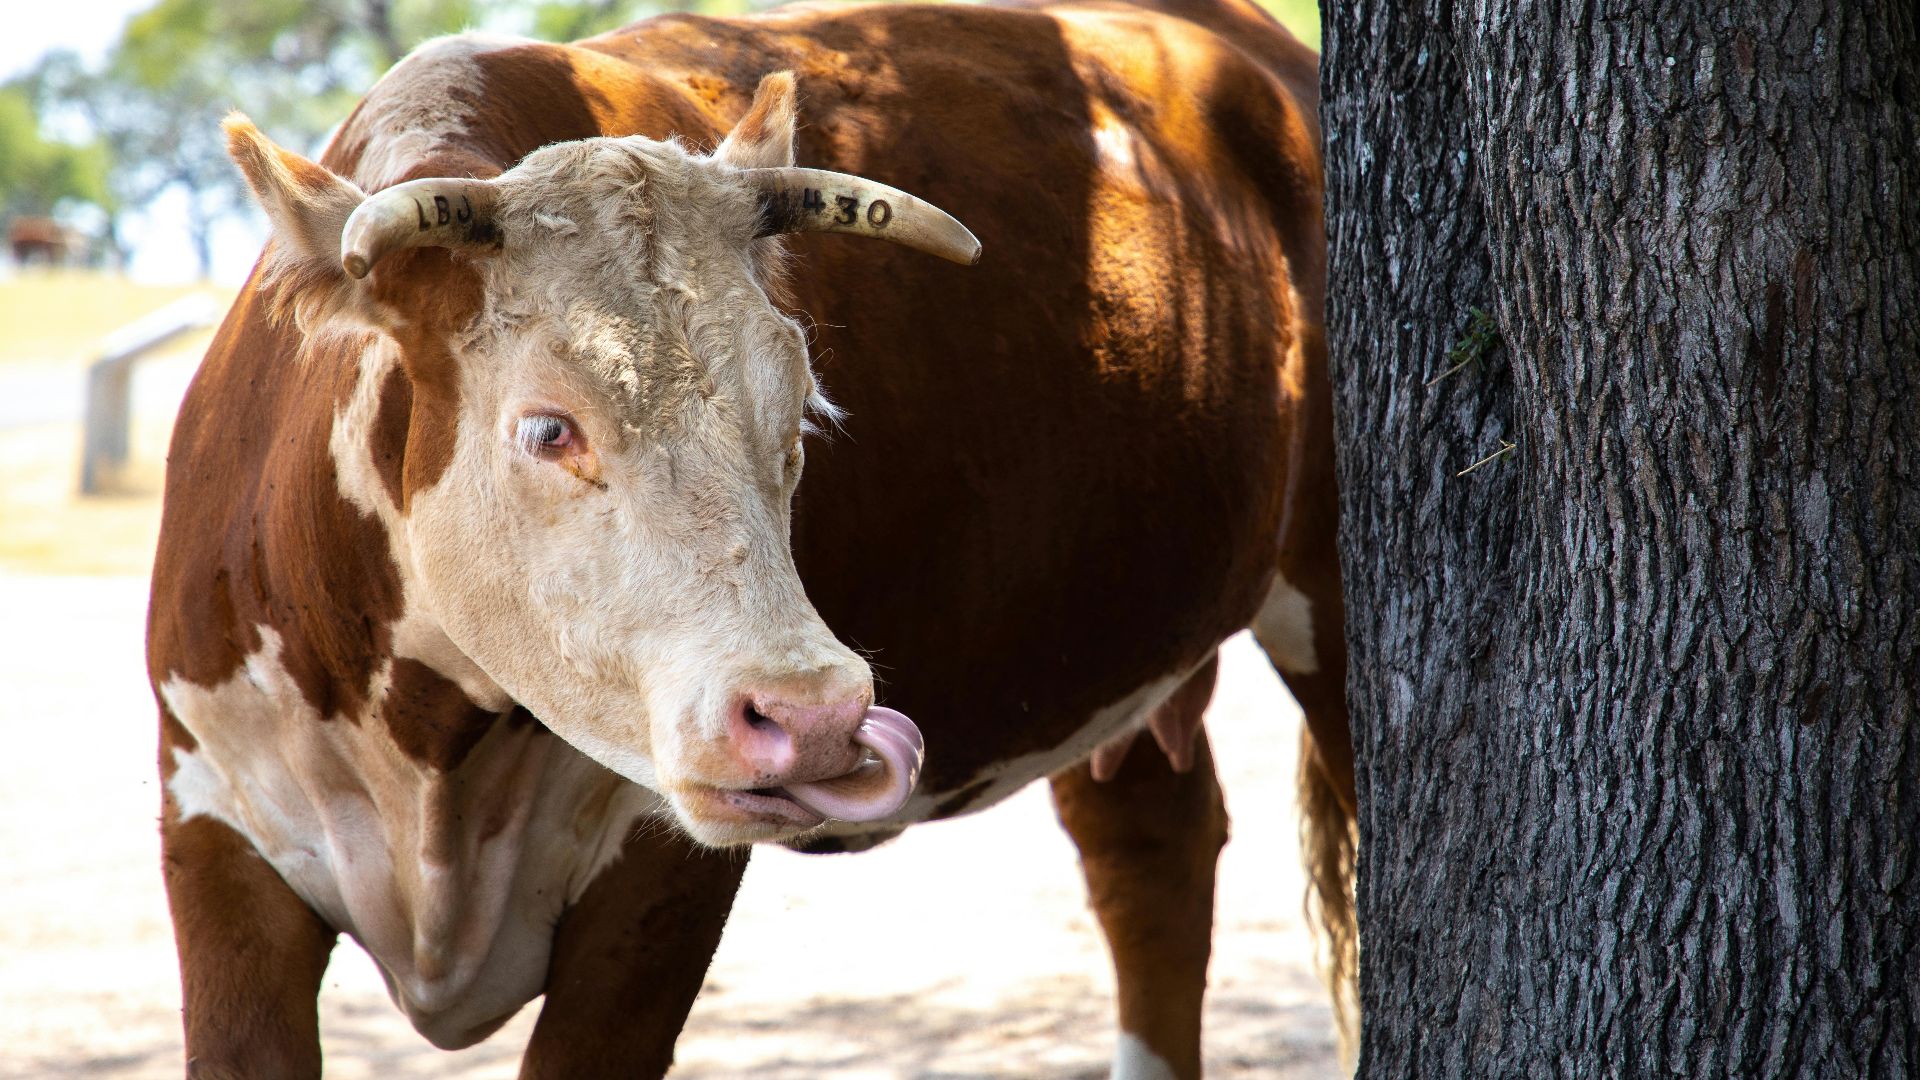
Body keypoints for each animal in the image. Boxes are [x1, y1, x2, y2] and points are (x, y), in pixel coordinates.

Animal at [145, 0, 1355, 1076]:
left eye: (803, 412)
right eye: (548, 426)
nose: (812, 717)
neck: (429, 752)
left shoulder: (658, 887)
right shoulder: (215, 839)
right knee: (1150, 848)